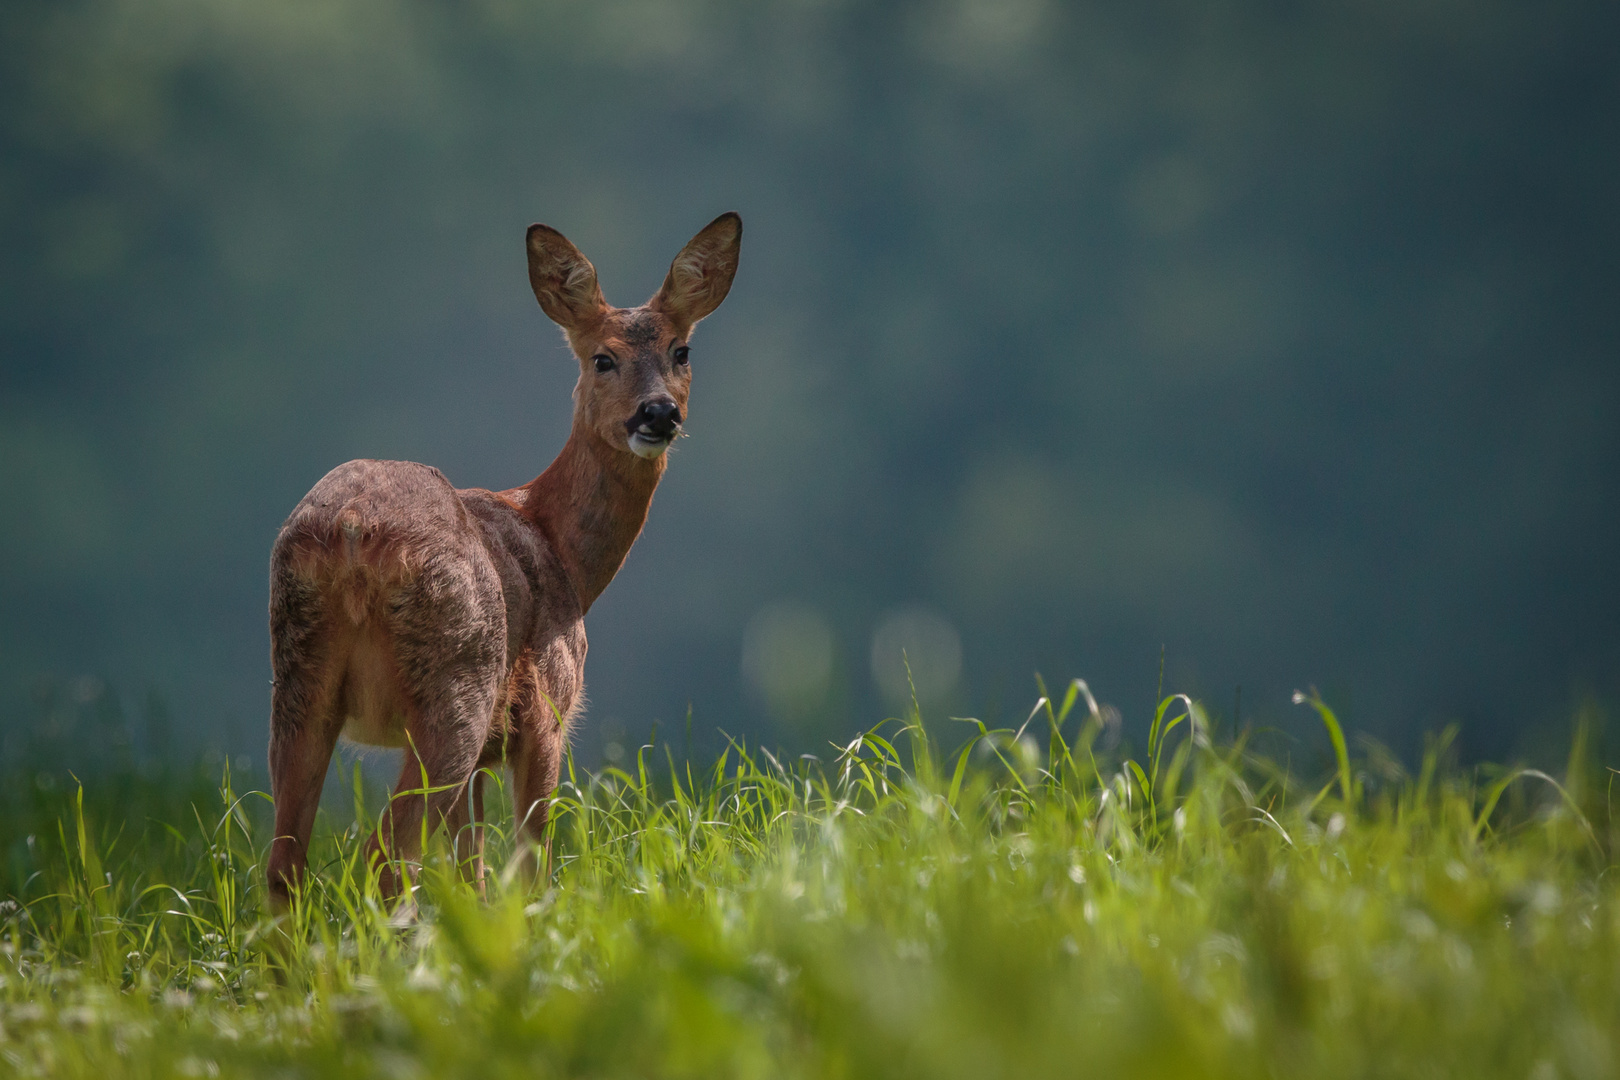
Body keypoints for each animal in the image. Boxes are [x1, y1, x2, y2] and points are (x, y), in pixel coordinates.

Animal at [267, 213, 745, 913]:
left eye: (682, 351)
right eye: (602, 357)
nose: (659, 412)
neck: (560, 548)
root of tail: (352, 533)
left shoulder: (486, 758)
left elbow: (474, 872)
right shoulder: (546, 711)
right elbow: (528, 863)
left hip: (299, 675)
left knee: (286, 862)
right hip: (457, 677)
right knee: (387, 852)